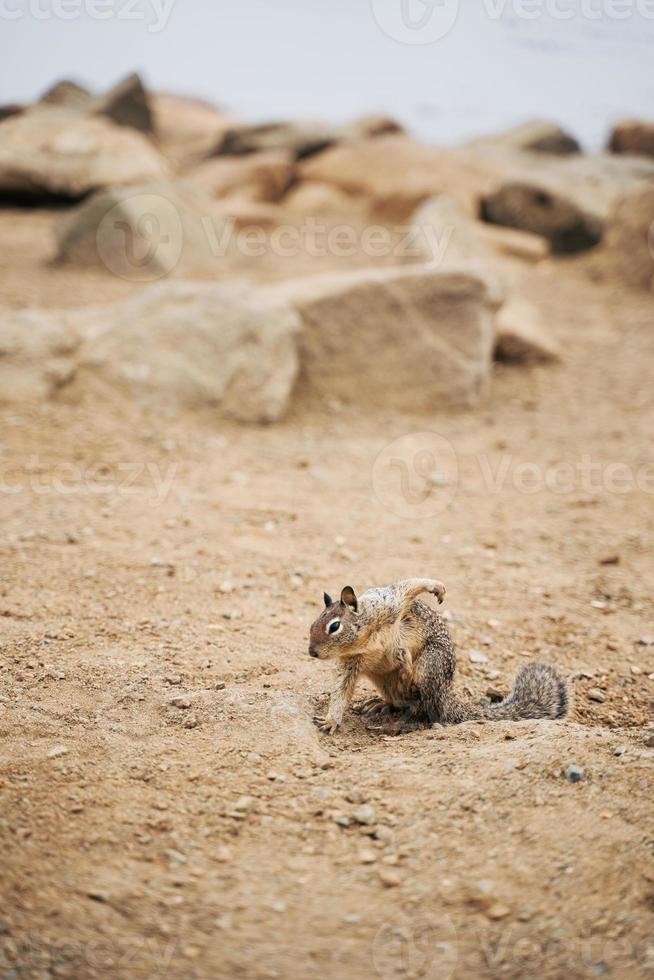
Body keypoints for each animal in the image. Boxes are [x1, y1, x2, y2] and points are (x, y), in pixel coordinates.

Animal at [308, 580, 568, 732]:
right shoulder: (350, 663)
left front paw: (436, 588)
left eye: (334, 627)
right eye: (312, 624)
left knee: (424, 704)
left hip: (431, 663)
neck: (366, 640)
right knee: (408, 701)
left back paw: (405, 670)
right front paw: (331, 720)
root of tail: (446, 694)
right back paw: (382, 703)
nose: (312, 652)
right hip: (384, 681)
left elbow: (407, 587)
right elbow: (341, 691)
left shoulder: (387, 605)